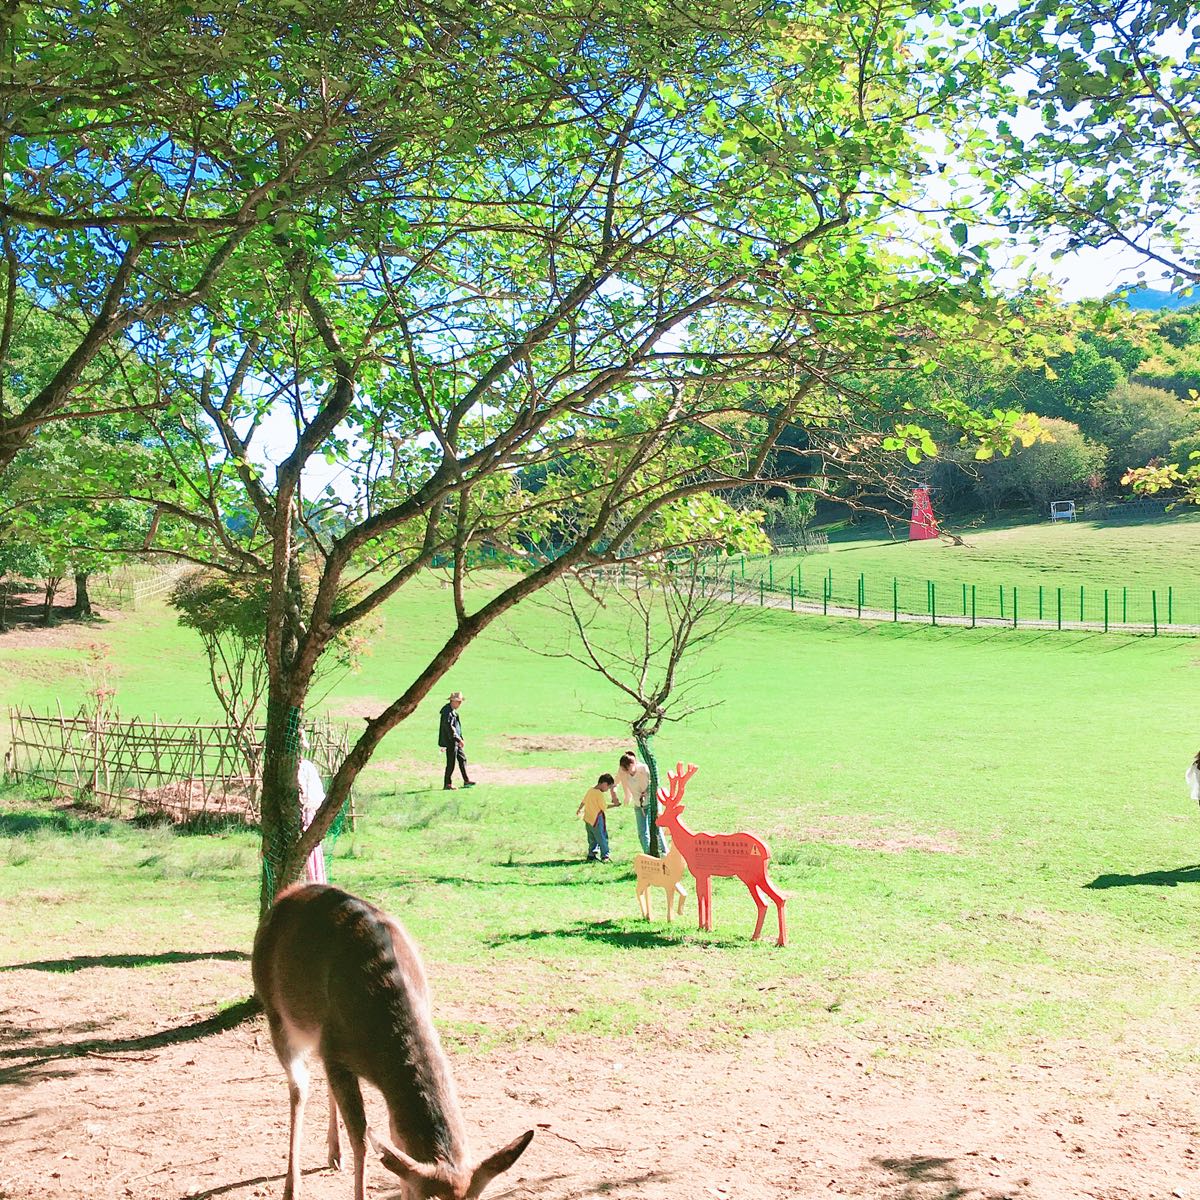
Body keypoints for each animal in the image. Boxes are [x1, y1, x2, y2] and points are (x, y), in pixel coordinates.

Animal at [250, 883, 532, 1200]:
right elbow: (362, 1139)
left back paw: (334, 1154)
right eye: (428, 1198)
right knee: (299, 1088)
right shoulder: (337, 1051)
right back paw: (292, 1186)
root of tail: (288, 893)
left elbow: (396, 1138)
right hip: (277, 1015)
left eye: (476, 1198)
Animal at [657, 768, 787, 945]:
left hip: (752, 874)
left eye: (668, 813)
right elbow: (707, 896)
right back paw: (759, 937)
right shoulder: (707, 874)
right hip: (754, 876)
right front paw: (706, 927)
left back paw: (777, 941)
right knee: (769, 901)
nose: (657, 821)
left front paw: (703, 927)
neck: (688, 844)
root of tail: (767, 851)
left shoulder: (699, 871)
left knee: (772, 900)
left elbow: (702, 896)